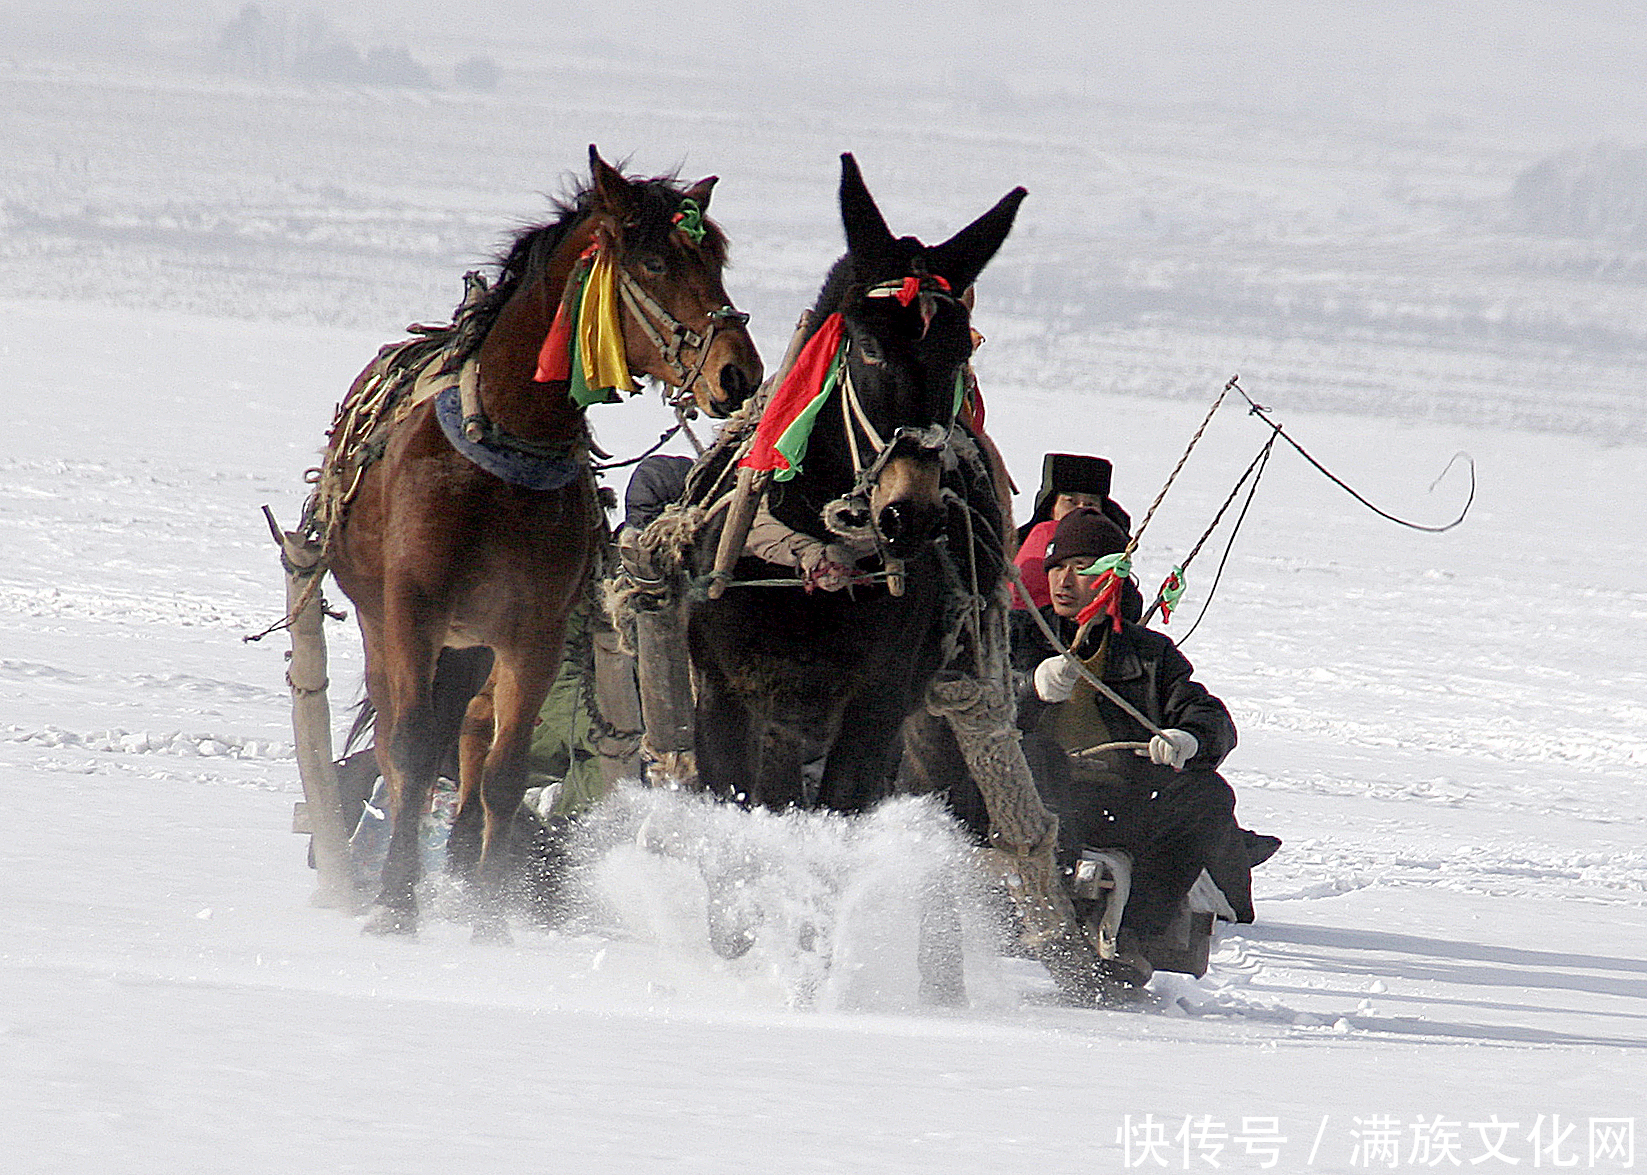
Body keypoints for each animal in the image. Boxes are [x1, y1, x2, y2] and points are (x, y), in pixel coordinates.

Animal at [329, 146, 764, 936]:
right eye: (655, 261)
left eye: (715, 258)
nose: (737, 372)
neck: (499, 460)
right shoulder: (413, 614)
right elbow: (410, 749)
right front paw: (398, 902)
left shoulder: (533, 629)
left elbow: (503, 771)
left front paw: (489, 915)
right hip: (388, 623)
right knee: (402, 739)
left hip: (474, 644)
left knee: (468, 732)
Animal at [681, 151, 1014, 817]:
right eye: (867, 347)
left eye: (960, 352)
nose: (910, 513)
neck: (813, 558)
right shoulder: (725, 694)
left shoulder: (877, 703)